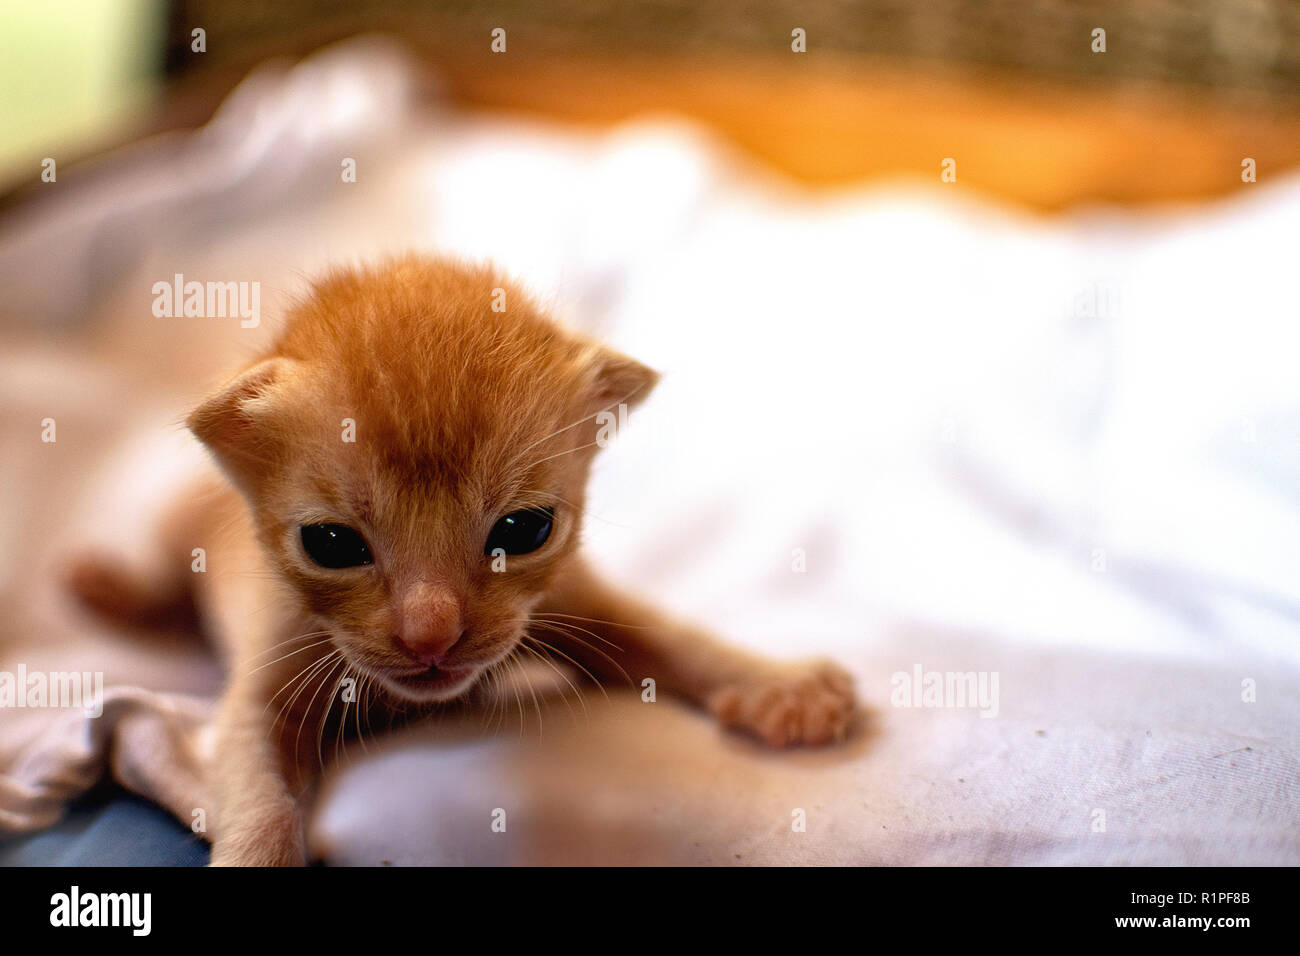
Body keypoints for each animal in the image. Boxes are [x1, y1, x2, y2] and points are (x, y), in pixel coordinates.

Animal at [63, 260, 852, 868]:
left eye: (524, 529)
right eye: (331, 545)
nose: (431, 636)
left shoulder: (571, 599)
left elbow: (666, 633)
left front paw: (779, 685)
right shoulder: (259, 689)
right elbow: (257, 799)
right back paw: (110, 591)